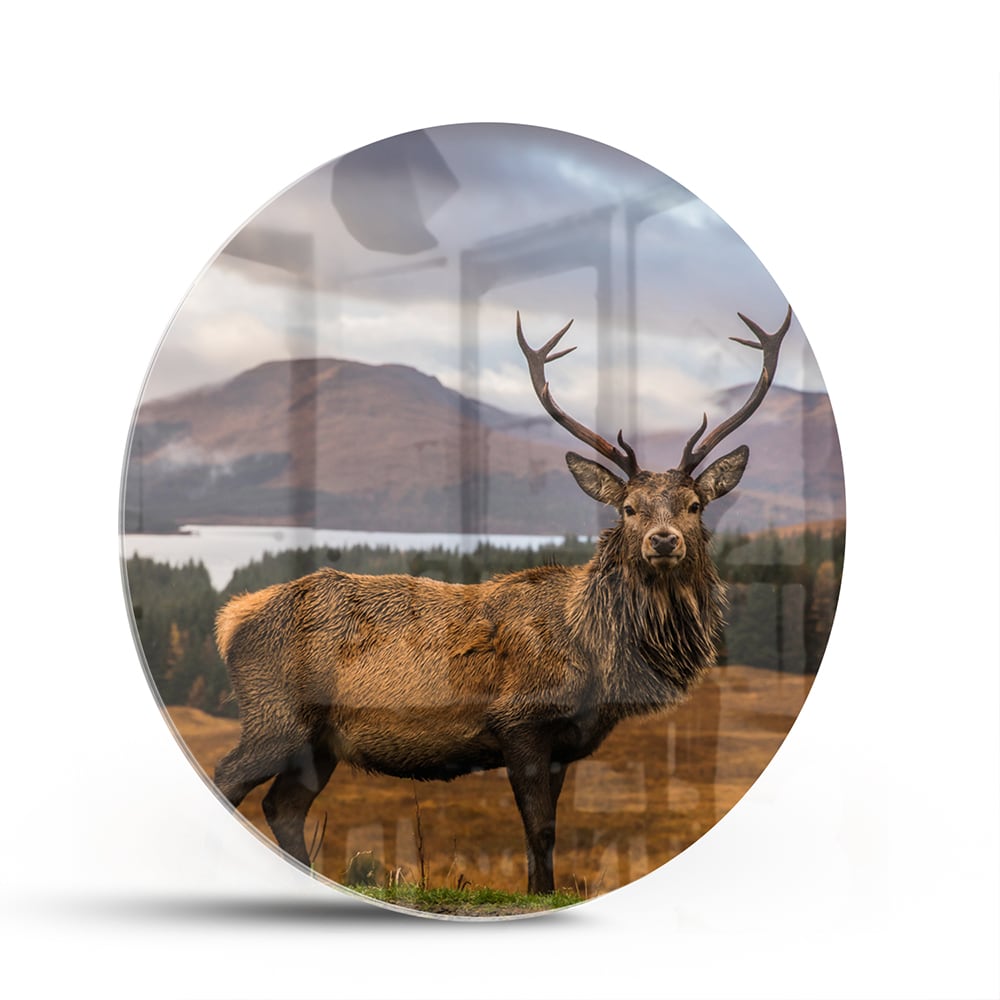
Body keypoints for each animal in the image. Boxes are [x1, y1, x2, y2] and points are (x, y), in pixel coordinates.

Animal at [212, 306, 791, 895]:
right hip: (275, 715)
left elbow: (546, 836)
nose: (664, 540)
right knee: (228, 776)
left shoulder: (564, 745)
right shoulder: (521, 721)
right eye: (629, 508)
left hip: (320, 742)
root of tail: (231, 619)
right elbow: (538, 828)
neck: (598, 657)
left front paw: (542, 891)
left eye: (695, 505)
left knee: (283, 805)